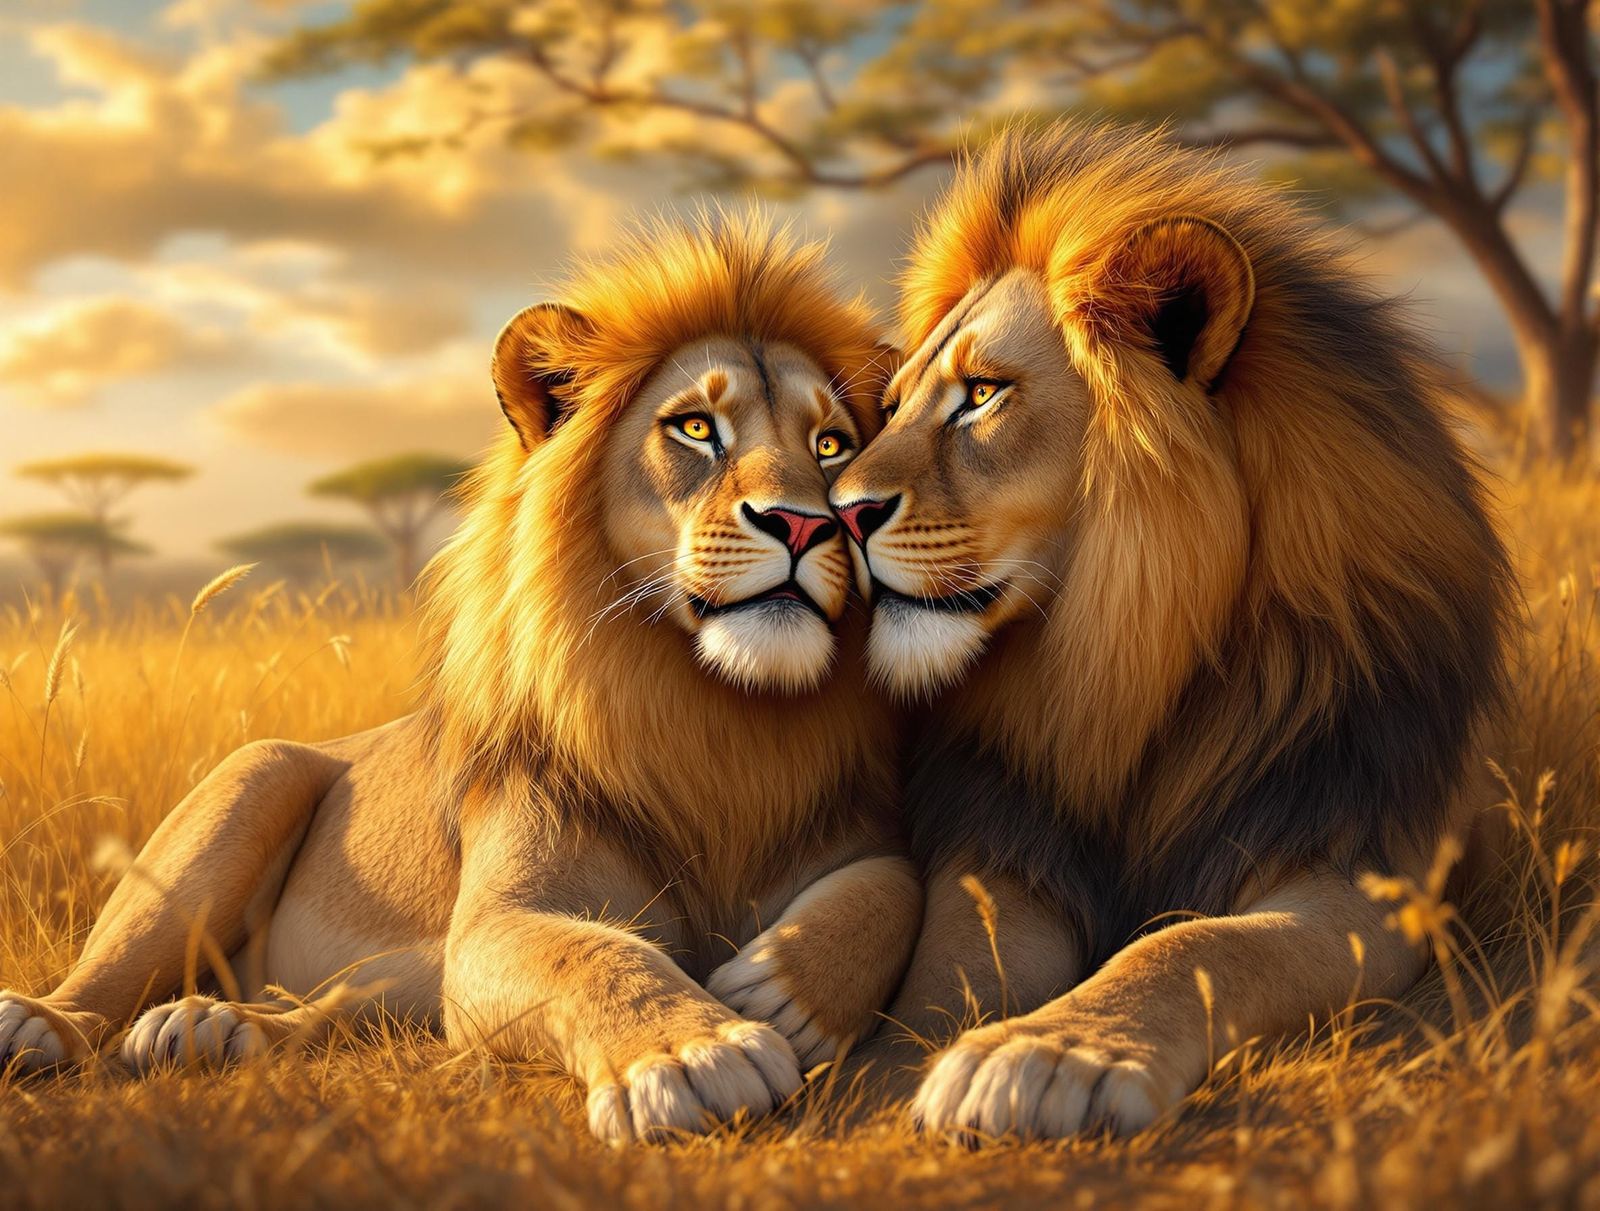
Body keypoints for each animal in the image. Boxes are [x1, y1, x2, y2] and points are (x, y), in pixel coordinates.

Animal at [0, 211, 922, 1143]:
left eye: (832, 444)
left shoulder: (858, 833)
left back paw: (212, 1027)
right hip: (250, 780)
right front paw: (692, 1052)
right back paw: (41, 1022)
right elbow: (594, 951)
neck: (715, 711)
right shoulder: (495, 921)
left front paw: (778, 986)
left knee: (330, 1005)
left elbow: (896, 882)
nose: (806, 525)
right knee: (111, 968)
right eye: (697, 428)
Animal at [829, 123, 1514, 1140]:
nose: (838, 513)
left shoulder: (1359, 860)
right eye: (895, 403)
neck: (1123, 661)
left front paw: (1052, 1051)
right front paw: (885, 1069)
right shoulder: (1012, 840)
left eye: (983, 393)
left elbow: (1200, 946)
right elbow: (958, 963)